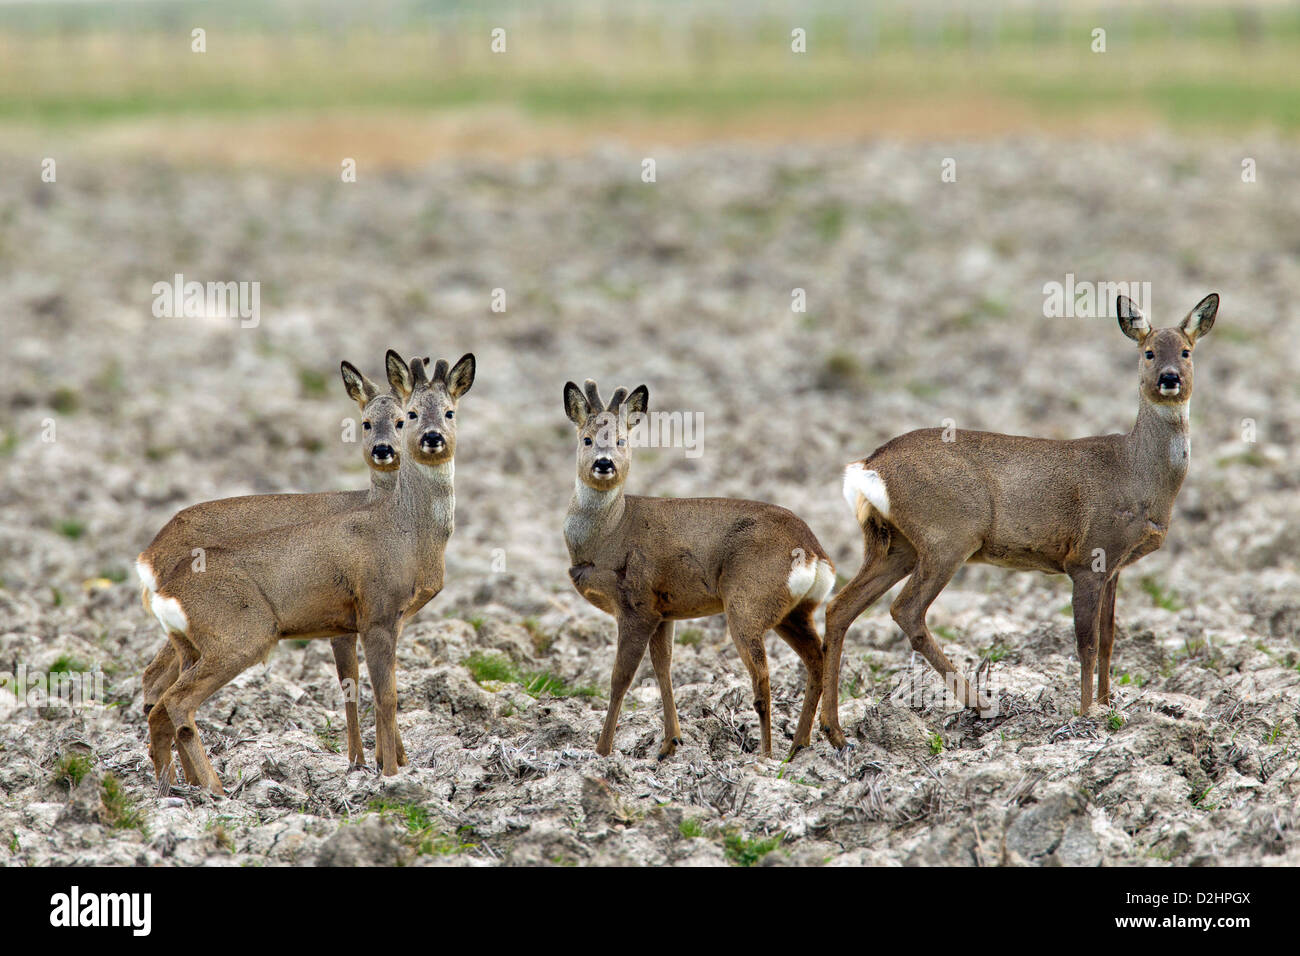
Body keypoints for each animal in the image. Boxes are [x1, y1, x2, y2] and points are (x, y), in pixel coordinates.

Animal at [143, 350, 474, 793]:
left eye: (450, 412)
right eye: (413, 413)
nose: (432, 438)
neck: (406, 529)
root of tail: (152, 561)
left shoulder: (361, 620)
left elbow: (358, 686)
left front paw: (376, 763)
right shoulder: (377, 613)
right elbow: (385, 695)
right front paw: (388, 773)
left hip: (191, 644)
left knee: (158, 699)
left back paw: (176, 787)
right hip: (241, 635)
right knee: (175, 700)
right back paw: (215, 790)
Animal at [562, 379, 836, 760]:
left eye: (621, 440)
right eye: (586, 439)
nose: (604, 463)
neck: (608, 534)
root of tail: (812, 551)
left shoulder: (636, 604)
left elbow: (620, 678)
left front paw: (602, 751)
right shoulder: (664, 611)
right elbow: (664, 668)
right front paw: (669, 743)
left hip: (746, 602)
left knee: (763, 676)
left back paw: (767, 756)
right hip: (794, 612)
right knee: (816, 658)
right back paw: (798, 746)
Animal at [820, 293, 1219, 747]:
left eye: (1186, 351)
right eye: (1148, 351)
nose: (1170, 378)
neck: (1138, 474)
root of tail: (869, 466)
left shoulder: (1115, 566)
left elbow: (1109, 639)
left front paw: (1108, 706)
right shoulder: (1087, 557)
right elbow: (1086, 644)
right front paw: (1085, 715)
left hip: (894, 545)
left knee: (839, 607)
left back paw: (833, 731)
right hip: (948, 535)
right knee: (906, 609)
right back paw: (980, 703)